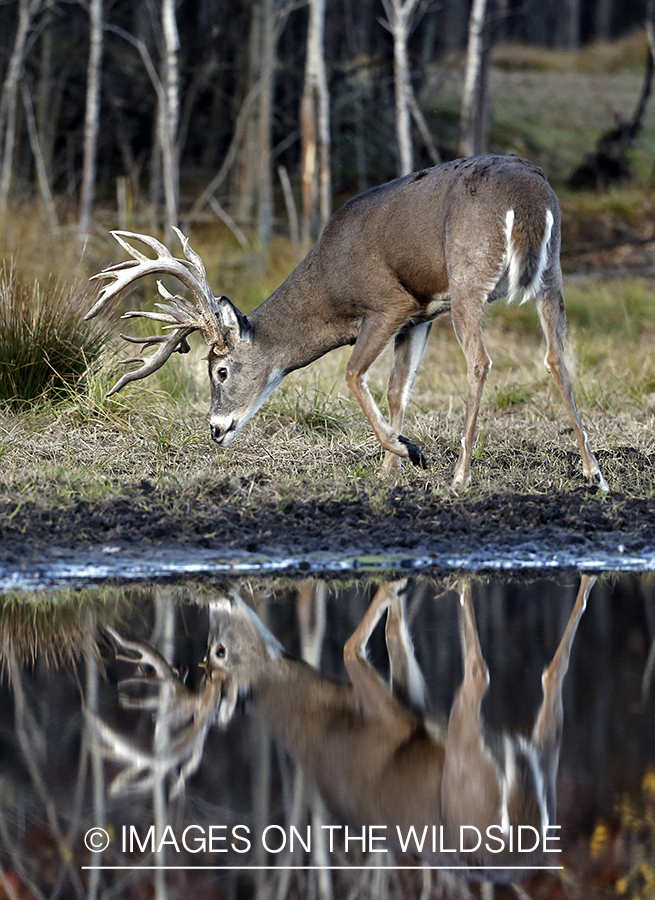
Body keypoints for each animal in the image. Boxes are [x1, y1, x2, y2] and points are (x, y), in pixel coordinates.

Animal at [86, 156, 608, 492]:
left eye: (220, 370)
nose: (215, 431)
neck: (330, 288)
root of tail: (530, 198)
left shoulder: (388, 304)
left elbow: (353, 374)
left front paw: (408, 452)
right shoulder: (420, 316)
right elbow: (398, 390)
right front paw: (388, 472)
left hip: (468, 277)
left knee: (480, 361)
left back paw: (460, 476)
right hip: (551, 272)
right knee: (556, 357)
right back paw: (594, 474)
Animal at [95, 576, 596, 880]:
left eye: (219, 651)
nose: (217, 599)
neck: (322, 725)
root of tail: (522, 837)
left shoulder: (392, 720)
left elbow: (351, 645)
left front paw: (393, 583)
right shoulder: (408, 703)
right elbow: (389, 636)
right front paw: (398, 588)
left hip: (466, 762)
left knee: (482, 672)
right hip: (538, 761)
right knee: (544, 680)